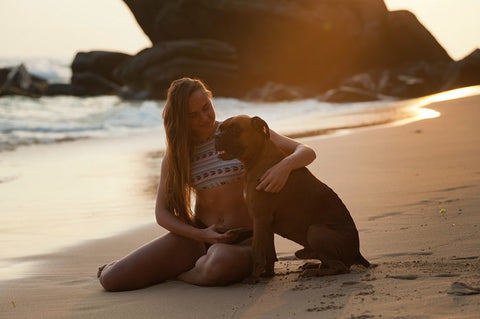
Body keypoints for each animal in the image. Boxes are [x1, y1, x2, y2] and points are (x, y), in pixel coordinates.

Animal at [216, 115, 370, 284]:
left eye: (235, 129)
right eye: (221, 128)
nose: (216, 136)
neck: (258, 159)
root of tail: (357, 252)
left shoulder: (260, 219)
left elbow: (257, 252)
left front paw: (253, 277)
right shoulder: (265, 224)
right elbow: (269, 252)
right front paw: (268, 273)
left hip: (316, 231)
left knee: (340, 267)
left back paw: (314, 272)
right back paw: (313, 266)